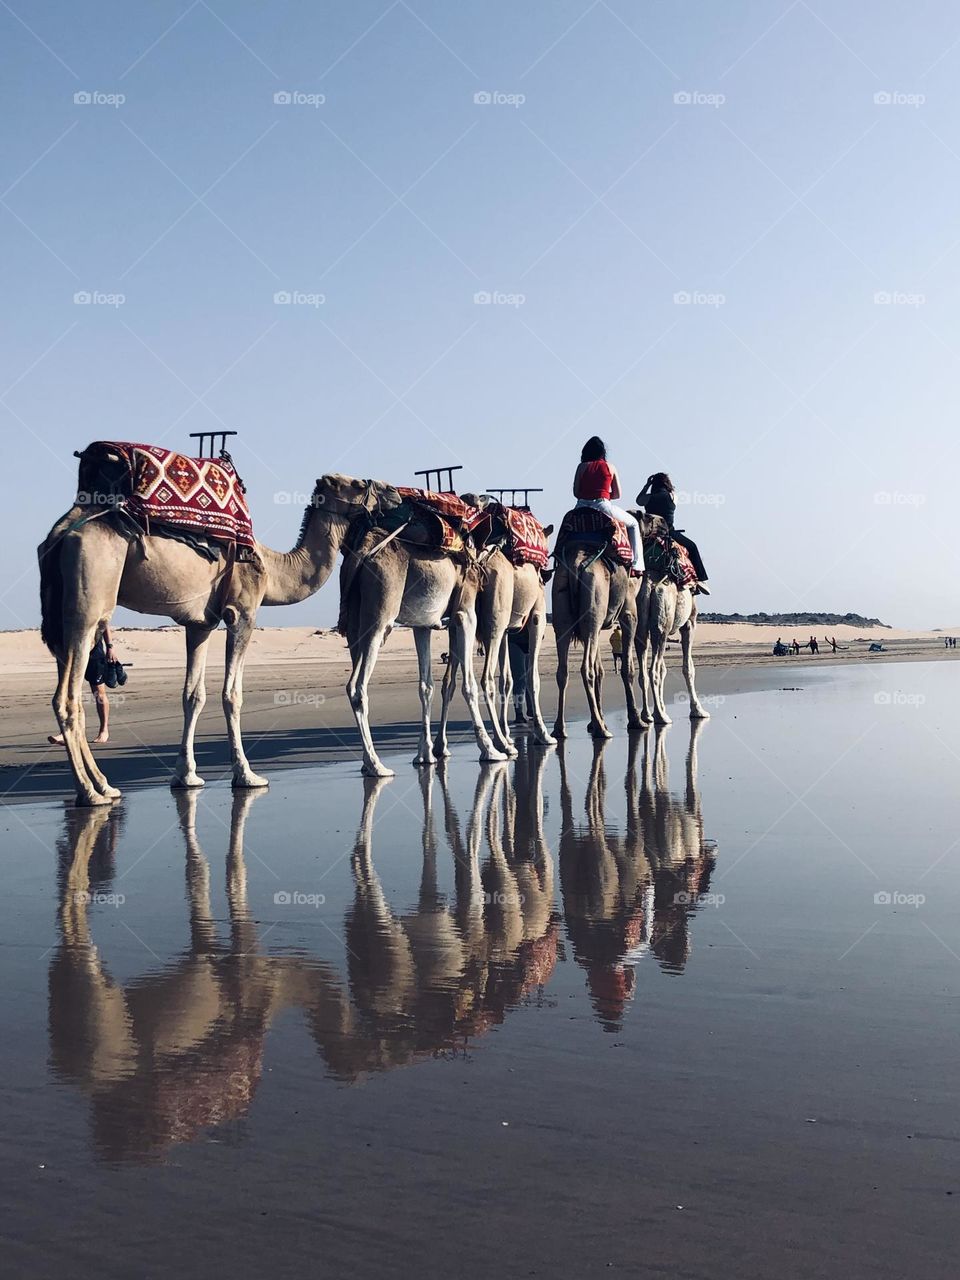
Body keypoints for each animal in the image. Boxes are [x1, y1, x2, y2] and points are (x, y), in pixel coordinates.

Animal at [552, 527, 642, 742]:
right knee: (586, 669)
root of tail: (576, 564)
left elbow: (600, 669)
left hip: (564, 608)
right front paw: (636, 720)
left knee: (563, 670)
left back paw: (560, 729)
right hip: (594, 596)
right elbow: (627, 668)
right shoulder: (629, 613)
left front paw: (595, 721)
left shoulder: (596, 627)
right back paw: (602, 730)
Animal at [634, 514, 711, 727]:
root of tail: (648, 587)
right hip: (662, 625)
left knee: (644, 671)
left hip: (640, 625)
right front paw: (698, 711)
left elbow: (664, 669)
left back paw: (647, 715)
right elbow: (688, 667)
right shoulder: (690, 623)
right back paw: (661, 717)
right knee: (653, 670)